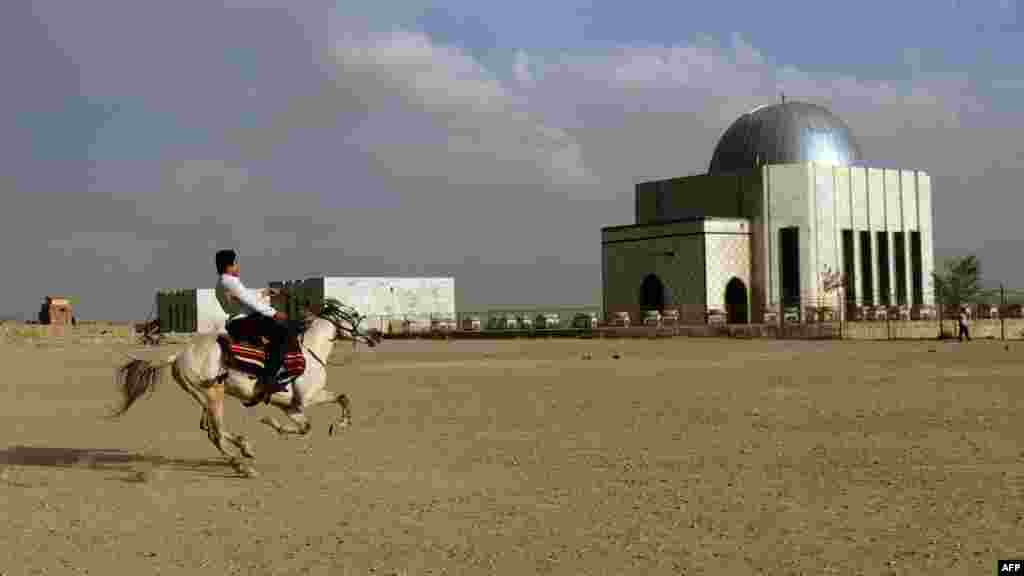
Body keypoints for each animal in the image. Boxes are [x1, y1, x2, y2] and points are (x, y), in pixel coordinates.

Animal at [110, 297, 380, 473]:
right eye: (355, 315)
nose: (376, 335)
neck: (310, 352)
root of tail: (178, 356)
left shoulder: (291, 406)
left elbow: (310, 423)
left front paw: (272, 423)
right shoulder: (307, 399)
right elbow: (336, 402)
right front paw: (339, 424)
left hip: (202, 397)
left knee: (212, 431)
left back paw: (245, 448)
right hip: (213, 396)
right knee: (216, 432)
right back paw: (242, 464)